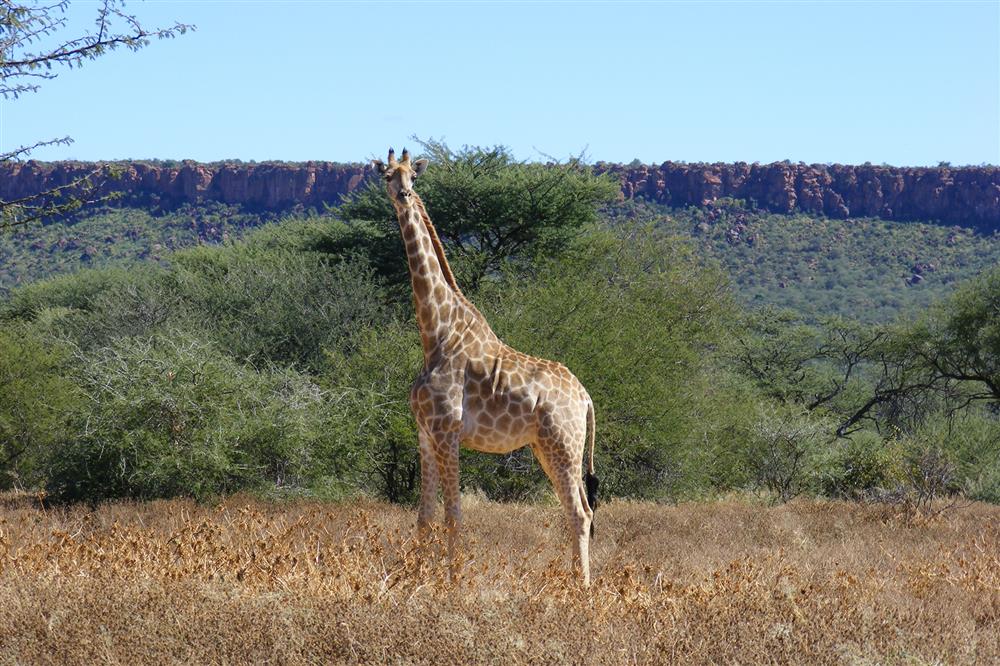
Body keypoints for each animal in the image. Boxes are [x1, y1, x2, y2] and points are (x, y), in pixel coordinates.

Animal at [372, 148, 596, 584]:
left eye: (413, 177)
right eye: (388, 175)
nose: (404, 195)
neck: (436, 333)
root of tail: (586, 399)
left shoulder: (448, 432)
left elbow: (453, 515)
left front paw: (453, 581)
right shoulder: (424, 433)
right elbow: (423, 516)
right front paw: (415, 578)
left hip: (564, 444)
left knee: (579, 513)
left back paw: (583, 588)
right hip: (548, 447)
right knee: (579, 510)